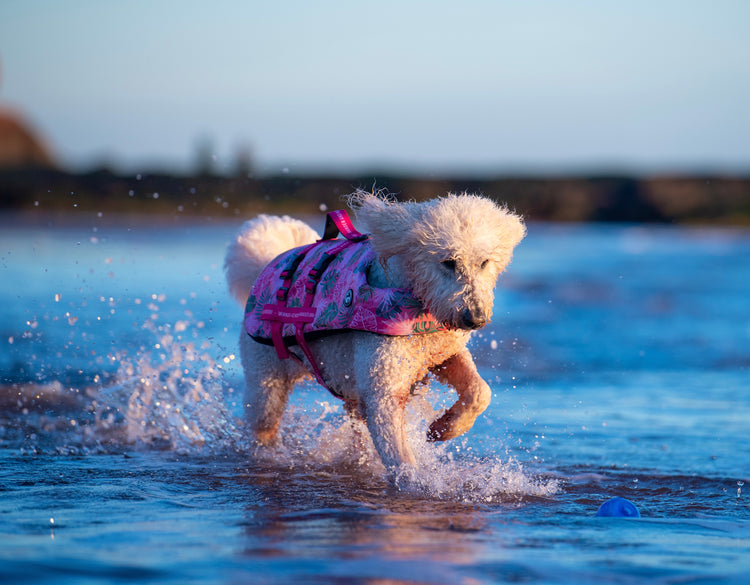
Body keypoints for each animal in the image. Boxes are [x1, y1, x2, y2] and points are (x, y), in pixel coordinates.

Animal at [226, 190, 524, 470]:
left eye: (484, 262)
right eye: (448, 262)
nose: (475, 319)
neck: (413, 296)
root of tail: (263, 266)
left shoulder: (442, 354)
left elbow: (480, 391)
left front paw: (444, 428)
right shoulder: (384, 390)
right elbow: (402, 461)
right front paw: (415, 482)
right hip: (266, 380)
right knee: (263, 425)